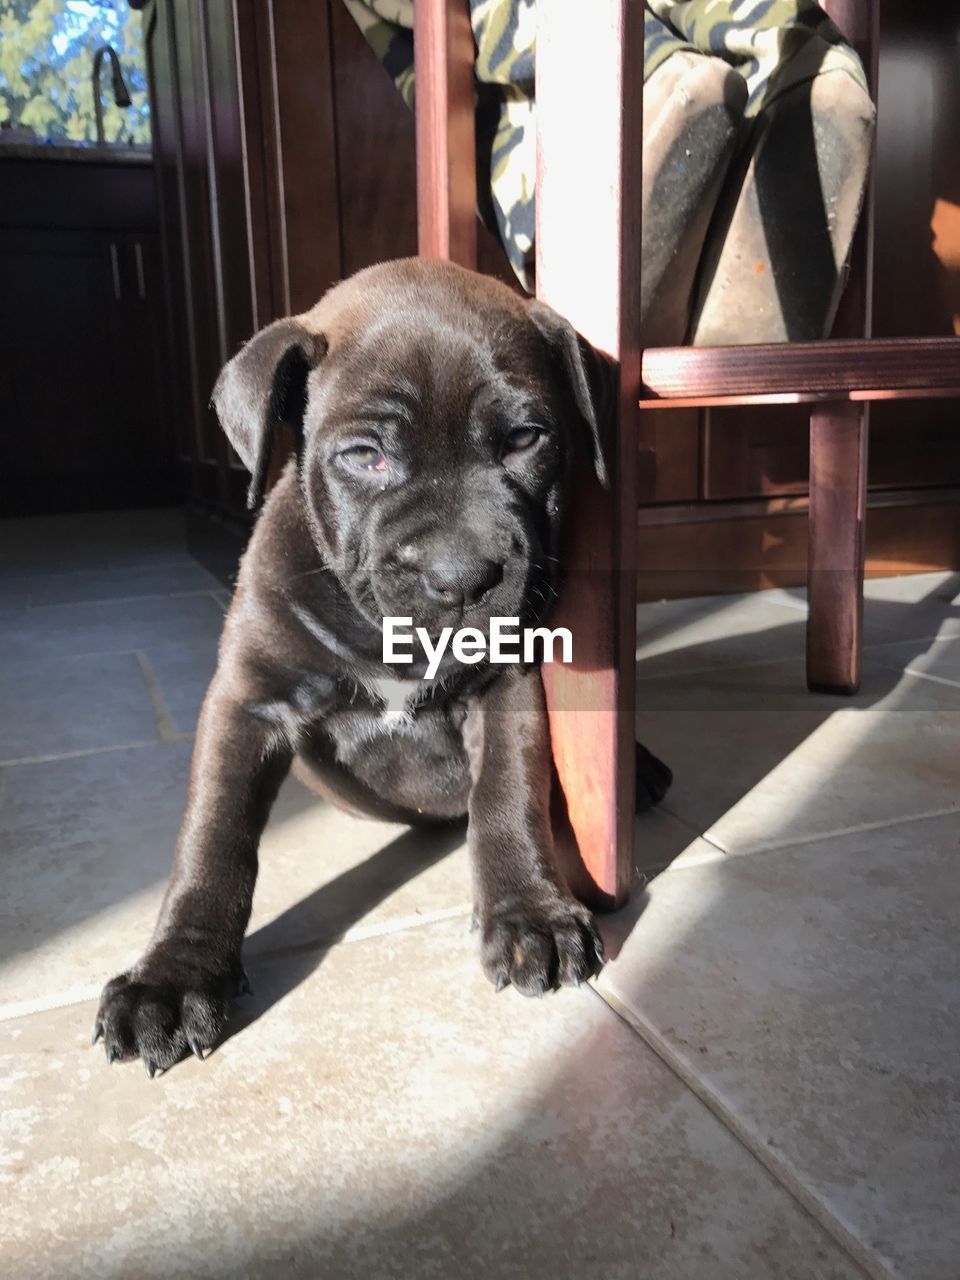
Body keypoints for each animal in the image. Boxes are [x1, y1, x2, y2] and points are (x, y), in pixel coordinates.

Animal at [96, 257, 670, 1070]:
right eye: (365, 456)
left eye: (526, 439)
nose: (460, 578)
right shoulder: (248, 703)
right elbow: (213, 839)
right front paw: (172, 979)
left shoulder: (505, 689)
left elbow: (508, 797)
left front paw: (530, 915)